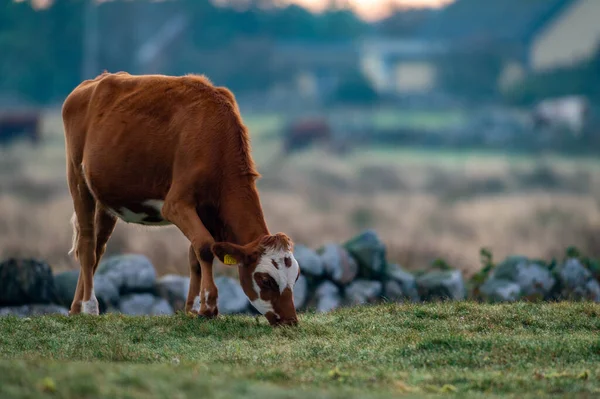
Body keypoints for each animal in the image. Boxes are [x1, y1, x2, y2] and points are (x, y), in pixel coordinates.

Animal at [62, 72, 300, 328]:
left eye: (296, 277)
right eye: (266, 280)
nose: (291, 320)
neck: (216, 142)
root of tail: (95, 81)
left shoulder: (208, 211)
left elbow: (196, 255)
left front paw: (193, 308)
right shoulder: (175, 204)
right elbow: (204, 246)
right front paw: (209, 306)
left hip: (105, 200)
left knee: (98, 247)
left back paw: (75, 308)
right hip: (77, 178)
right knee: (87, 244)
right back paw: (89, 306)